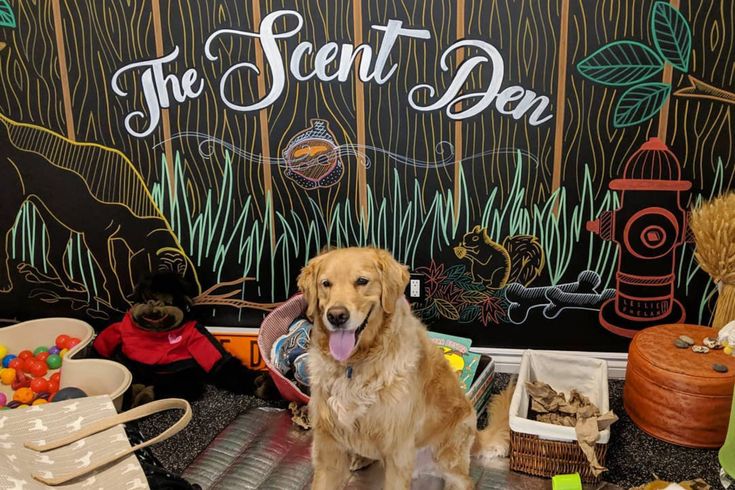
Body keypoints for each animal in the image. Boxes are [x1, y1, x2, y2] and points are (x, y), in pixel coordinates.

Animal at [298, 249, 512, 490]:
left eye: (362, 281)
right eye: (326, 283)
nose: (336, 316)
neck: (353, 366)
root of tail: (476, 432)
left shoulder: (397, 452)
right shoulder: (328, 447)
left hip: (448, 454)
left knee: (464, 480)